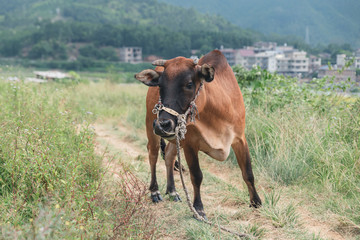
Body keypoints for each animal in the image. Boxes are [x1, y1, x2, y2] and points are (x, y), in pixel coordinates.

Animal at [134, 50, 260, 218]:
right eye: (160, 85)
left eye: (189, 84)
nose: (163, 124)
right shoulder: (190, 144)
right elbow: (196, 175)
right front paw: (198, 209)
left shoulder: (239, 139)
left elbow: (248, 173)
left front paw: (256, 202)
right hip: (150, 124)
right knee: (153, 155)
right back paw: (155, 192)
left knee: (169, 156)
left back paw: (172, 191)